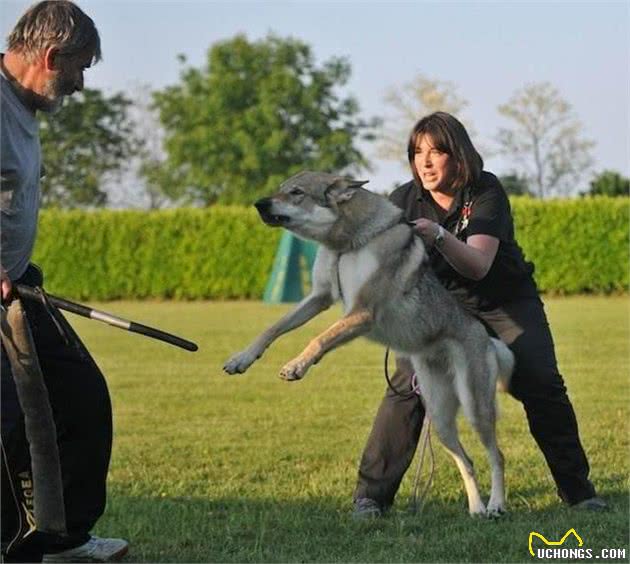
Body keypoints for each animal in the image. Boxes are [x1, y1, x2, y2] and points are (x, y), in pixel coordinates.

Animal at [225, 171, 516, 516]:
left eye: (296, 193)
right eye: (279, 189)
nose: (259, 204)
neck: (345, 245)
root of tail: (487, 339)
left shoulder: (362, 313)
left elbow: (318, 338)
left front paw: (296, 366)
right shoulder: (319, 297)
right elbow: (273, 329)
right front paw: (242, 359)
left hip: (475, 408)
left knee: (497, 457)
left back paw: (496, 505)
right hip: (441, 416)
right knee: (467, 462)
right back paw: (476, 508)